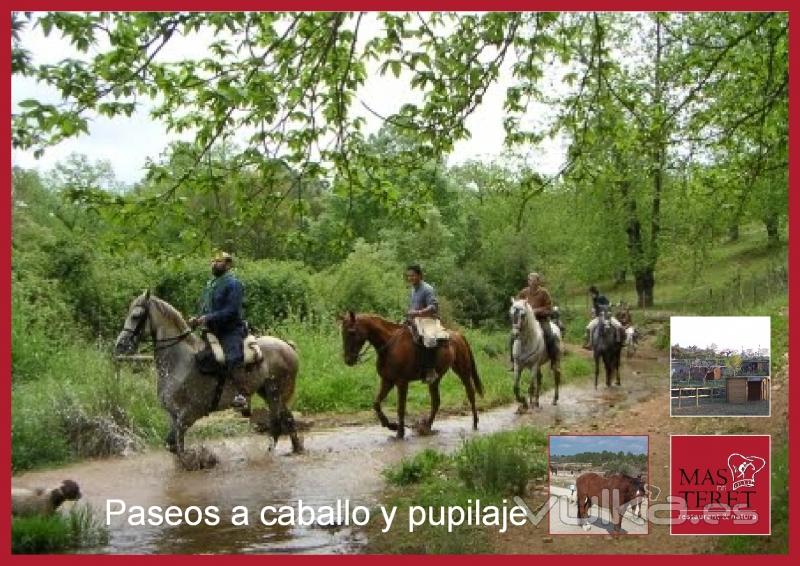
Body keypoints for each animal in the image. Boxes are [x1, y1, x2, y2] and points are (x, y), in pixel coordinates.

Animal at [338, 312, 482, 442]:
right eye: (343, 333)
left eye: (351, 332)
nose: (348, 360)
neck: (390, 345)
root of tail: (458, 335)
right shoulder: (387, 381)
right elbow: (376, 403)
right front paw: (391, 425)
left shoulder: (402, 382)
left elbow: (401, 408)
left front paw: (399, 433)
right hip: (435, 380)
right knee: (436, 402)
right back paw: (426, 427)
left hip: (463, 372)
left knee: (470, 394)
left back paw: (475, 423)